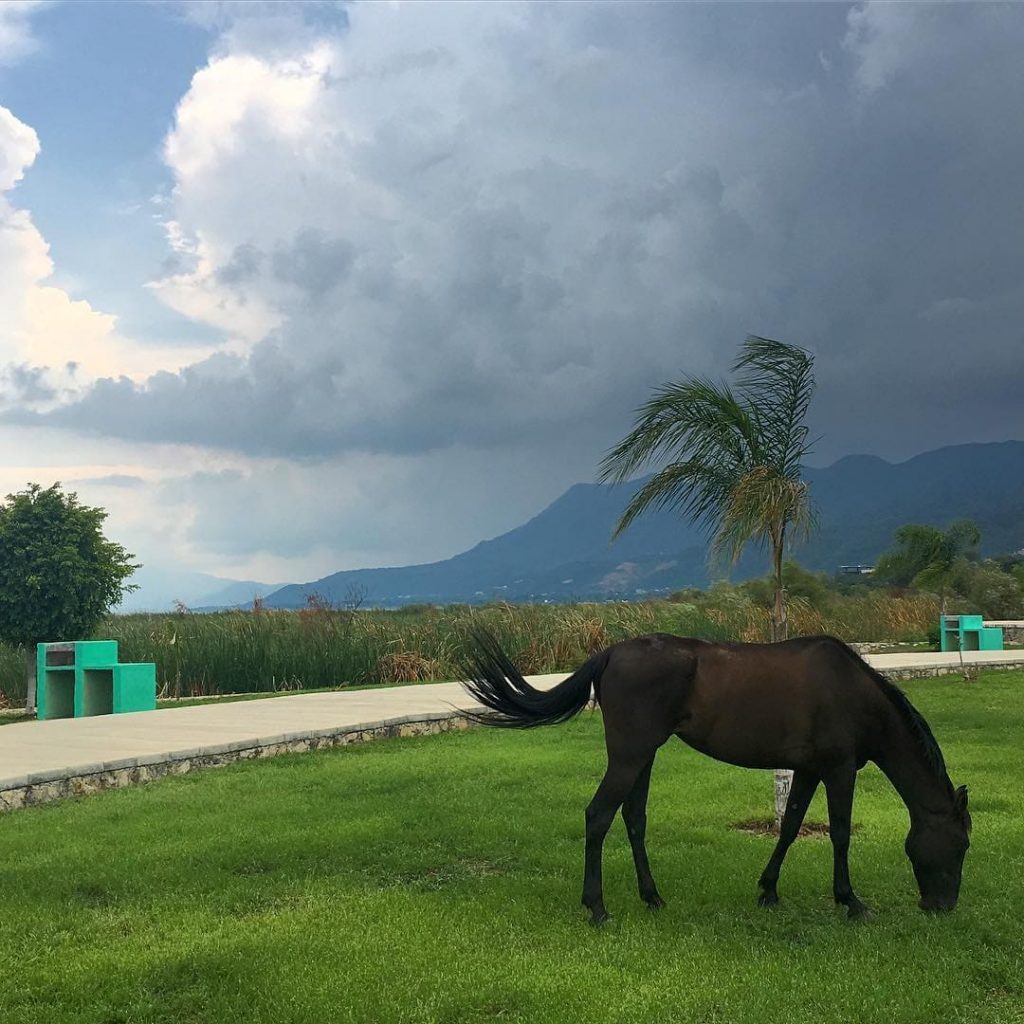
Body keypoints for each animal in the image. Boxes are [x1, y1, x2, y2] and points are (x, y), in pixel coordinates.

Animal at [462, 630, 966, 929]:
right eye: (961, 845)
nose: (942, 906)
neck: (852, 690)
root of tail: (610, 654)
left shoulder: (807, 771)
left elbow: (790, 826)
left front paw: (768, 890)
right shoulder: (839, 770)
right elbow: (840, 834)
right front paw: (851, 901)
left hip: (643, 757)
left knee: (634, 819)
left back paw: (652, 897)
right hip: (629, 756)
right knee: (598, 816)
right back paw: (598, 908)